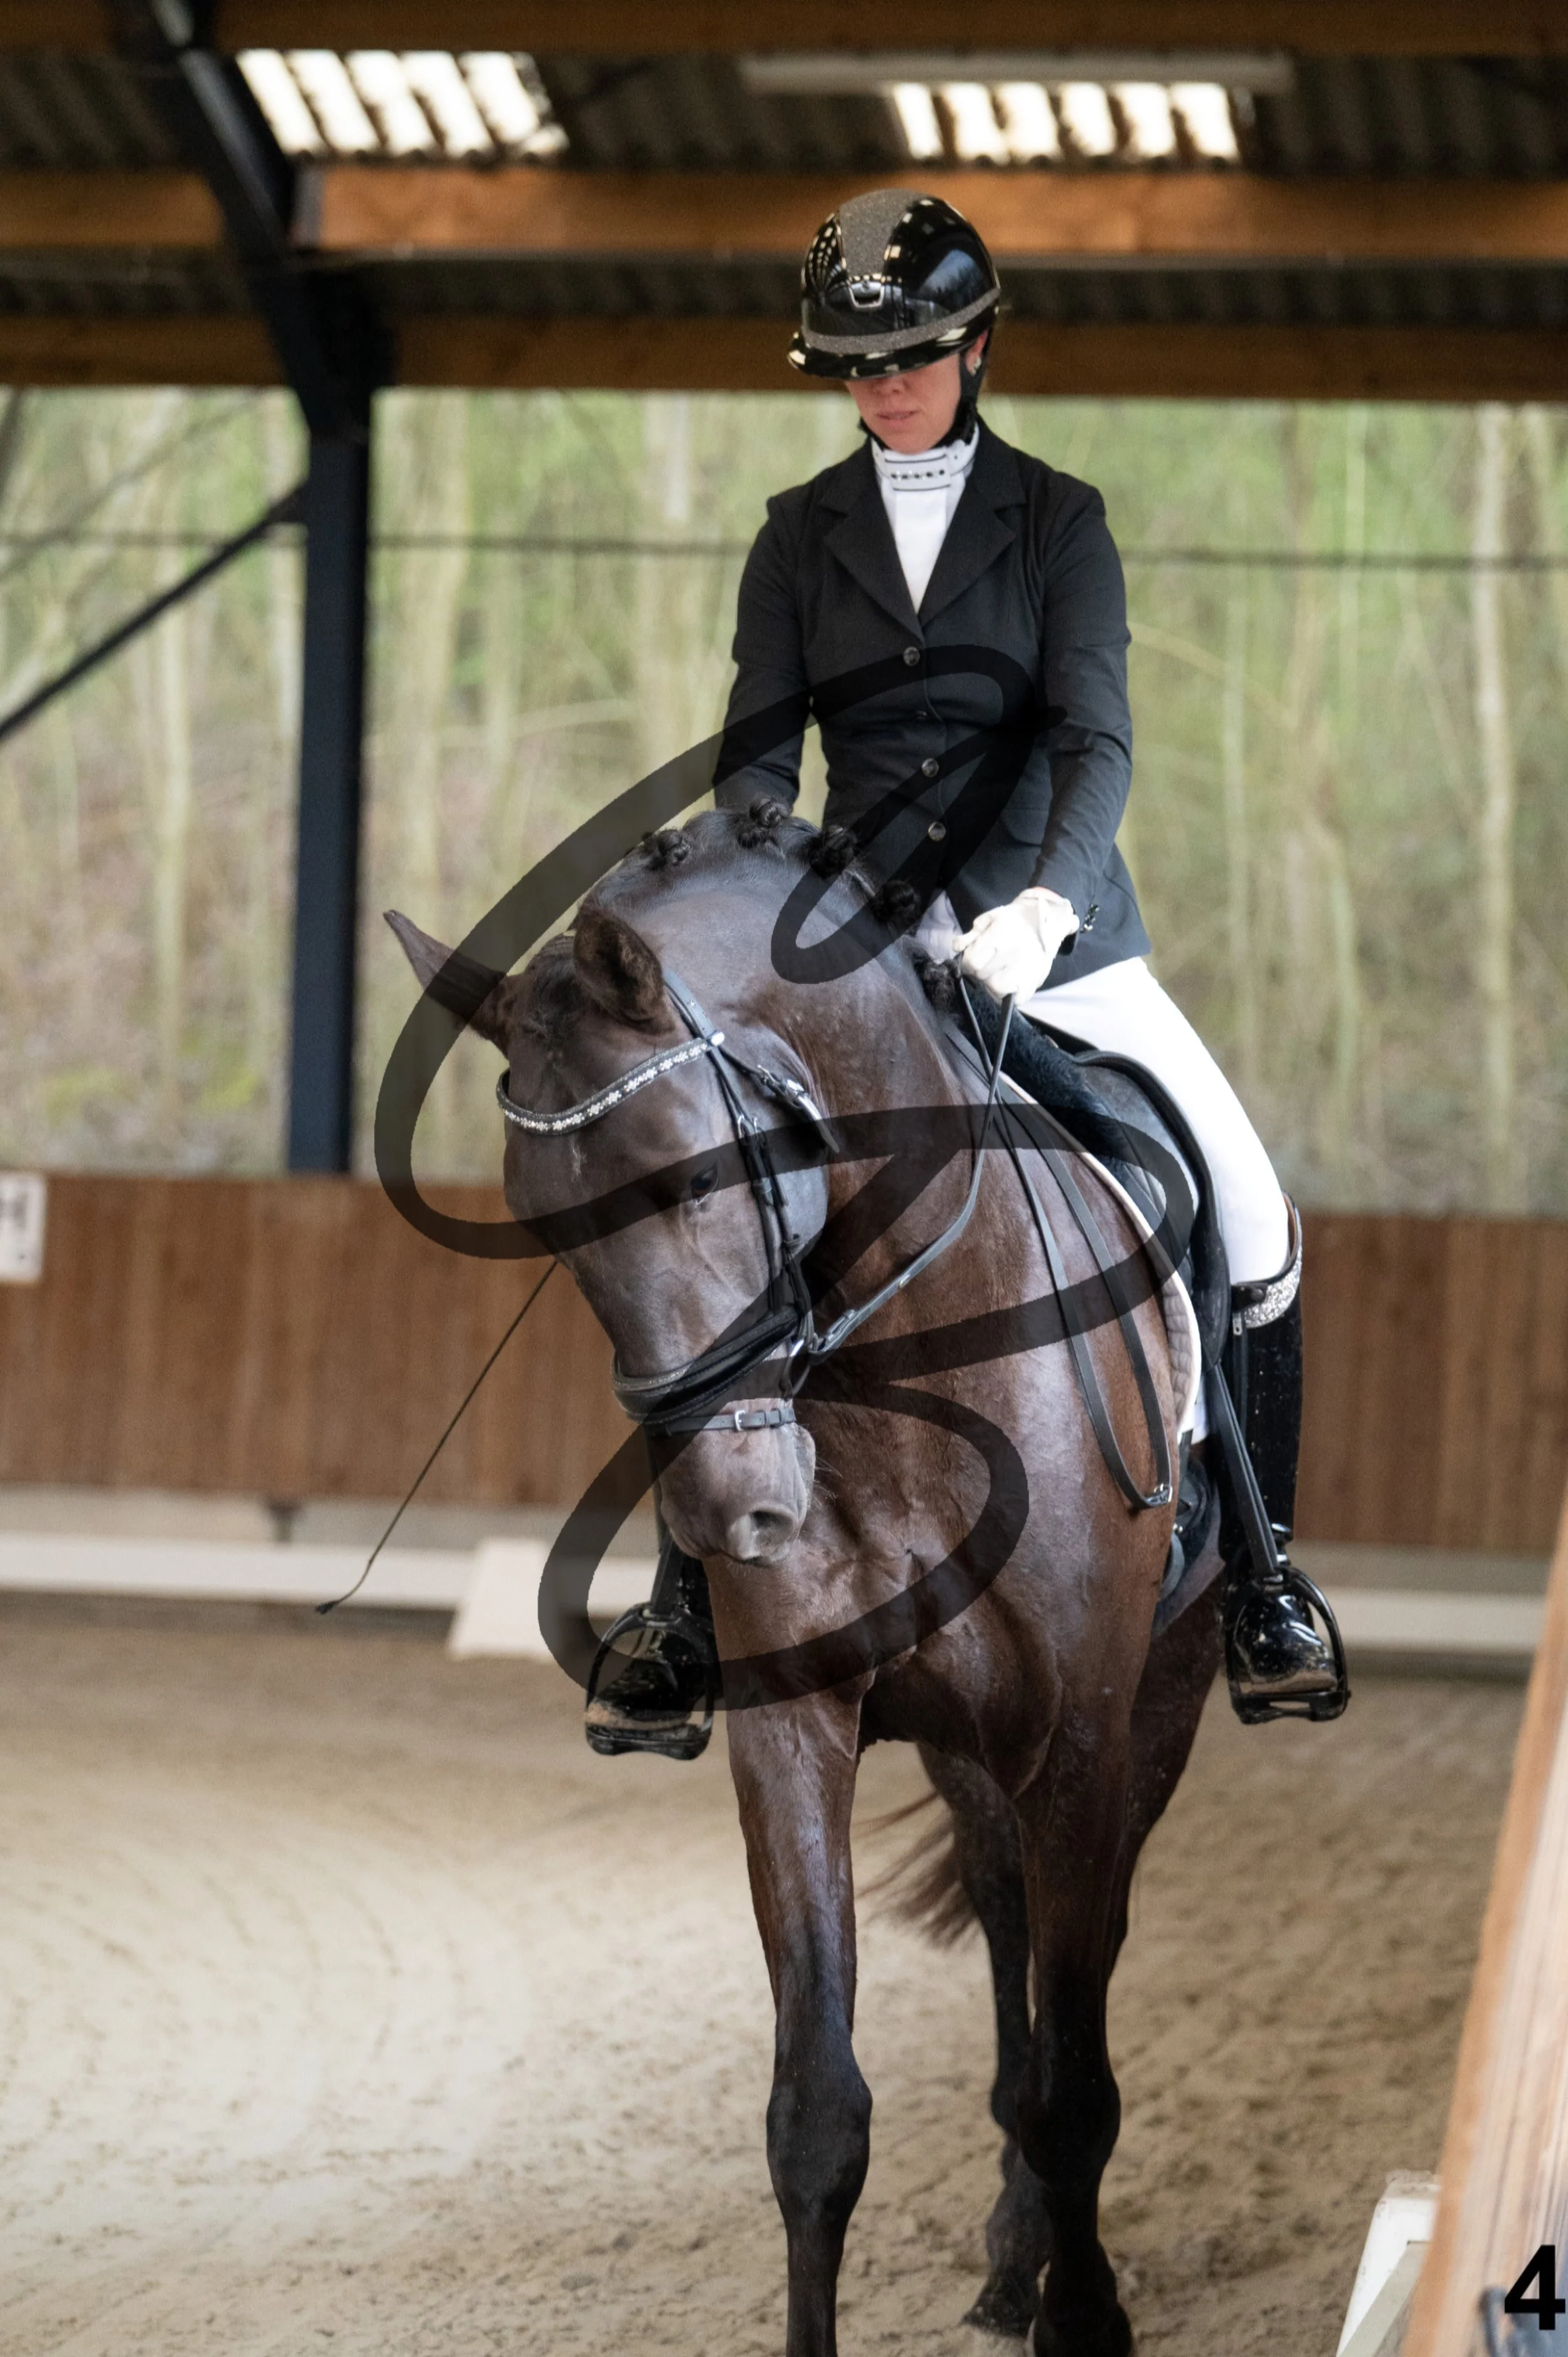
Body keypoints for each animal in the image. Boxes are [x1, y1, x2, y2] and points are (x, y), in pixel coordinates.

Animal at [390, 803, 1224, 2357]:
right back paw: (1012, 2247)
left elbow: (1078, 2084)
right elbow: (816, 2112)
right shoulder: (792, 1730)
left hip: (1161, 1699)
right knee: (1003, 1911)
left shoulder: (1083, 1735)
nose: (734, 1515)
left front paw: (1086, 2316)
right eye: (544, 1224)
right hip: (973, 1746)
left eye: (692, 1176)